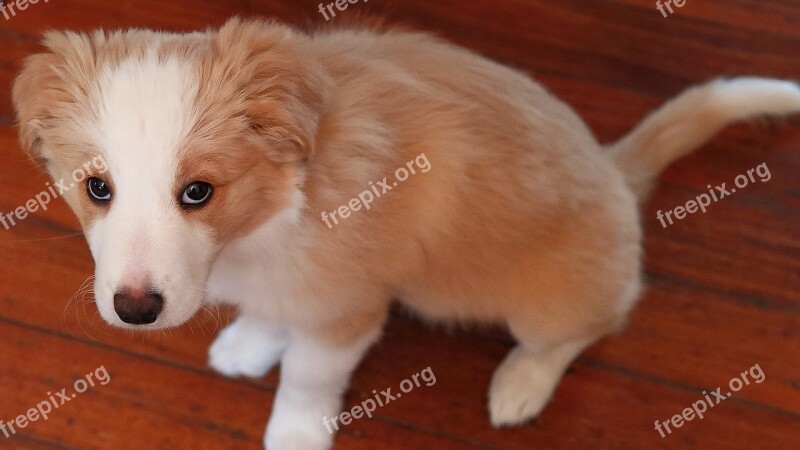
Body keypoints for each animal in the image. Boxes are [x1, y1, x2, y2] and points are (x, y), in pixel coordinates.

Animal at [10, 16, 800, 450]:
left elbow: (308, 375)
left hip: (549, 303)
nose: (135, 312)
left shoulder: (348, 310)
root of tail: (613, 169)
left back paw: (521, 385)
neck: (276, 207)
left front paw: (296, 433)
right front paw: (249, 343)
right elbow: (272, 316)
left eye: (198, 192)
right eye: (97, 189)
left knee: (582, 330)